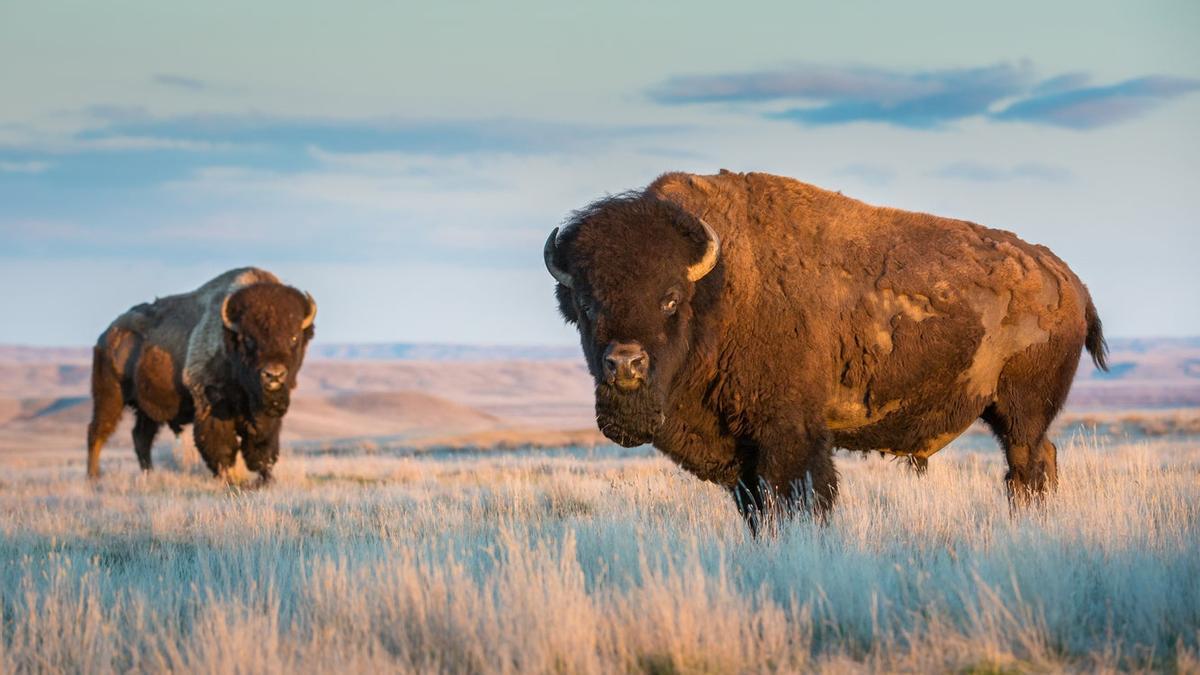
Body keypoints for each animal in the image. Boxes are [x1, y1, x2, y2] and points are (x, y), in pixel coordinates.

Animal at [87, 265, 316, 480]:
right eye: (249, 339)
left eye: (294, 338)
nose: (273, 375)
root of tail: (107, 336)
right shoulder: (211, 402)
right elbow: (222, 448)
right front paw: (232, 481)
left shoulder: (265, 420)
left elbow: (263, 450)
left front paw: (266, 480)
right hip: (110, 397)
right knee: (98, 432)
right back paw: (94, 478)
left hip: (147, 409)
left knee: (141, 437)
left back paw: (148, 475)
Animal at [544, 168, 1104, 526]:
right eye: (587, 304)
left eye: (669, 299)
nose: (625, 364)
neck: (719, 287)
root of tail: (1068, 280)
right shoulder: (743, 456)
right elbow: (758, 510)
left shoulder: (789, 435)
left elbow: (803, 498)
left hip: (1021, 409)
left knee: (1028, 464)